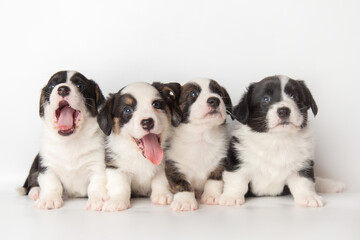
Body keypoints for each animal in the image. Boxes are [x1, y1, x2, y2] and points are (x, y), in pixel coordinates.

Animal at [20, 71, 107, 210]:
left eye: (79, 85)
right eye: (52, 86)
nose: (62, 89)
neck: (70, 142)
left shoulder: (97, 167)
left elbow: (96, 185)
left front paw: (97, 200)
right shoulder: (47, 167)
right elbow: (51, 183)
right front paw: (48, 199)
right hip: (35, 162)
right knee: (31, 183)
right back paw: (36, 191)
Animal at [97, 81, 181, 211]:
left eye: (156, 104)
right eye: (127, 110)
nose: (147, 122)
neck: (141, 156)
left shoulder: (164, 164)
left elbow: (160, 179)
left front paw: (162, 194)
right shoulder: (115, 167)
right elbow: (120, 185)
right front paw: (117, 201)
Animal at [164, 78, 232, 211]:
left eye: (219, 94)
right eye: (193, 94)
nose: (214, 100)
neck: (201, 136)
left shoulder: (221, 163)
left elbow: (213, 180)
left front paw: (211, 196)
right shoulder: (172, 167)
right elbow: (182, 184)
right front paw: (185, 201)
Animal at [219, 75, 344, 208]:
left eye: (294, 96)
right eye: (265, 99)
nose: (283, 110)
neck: (278, 139)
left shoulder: (302, 164)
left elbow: (305, 182)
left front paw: (309, 197)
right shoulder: (237, 162)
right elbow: (236, 180)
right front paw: (231, 197)